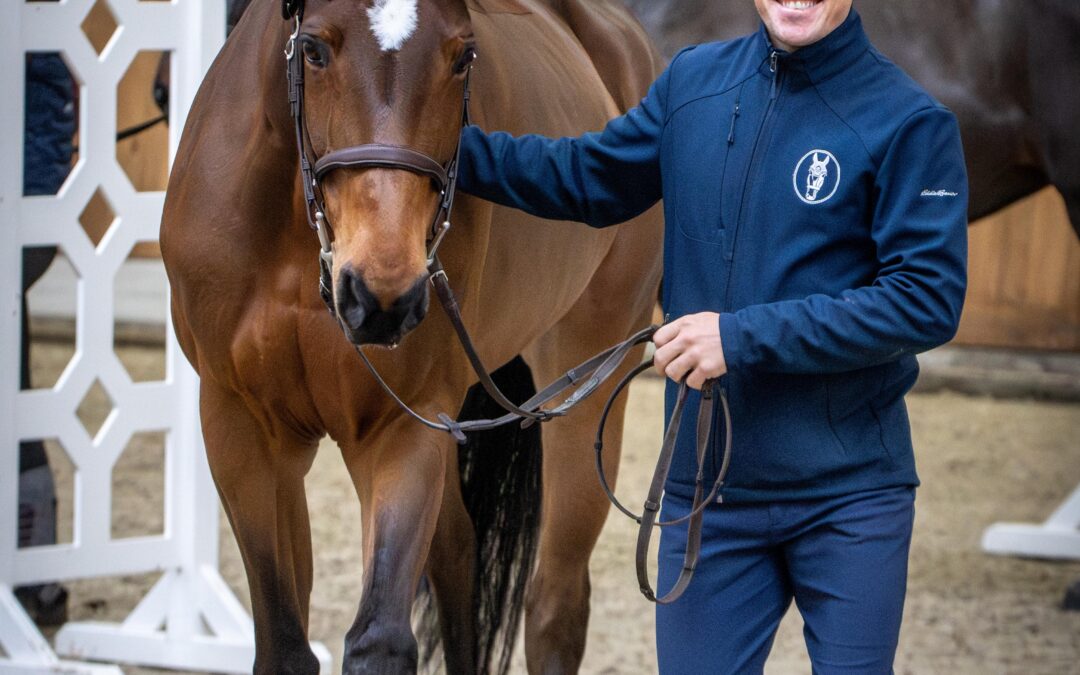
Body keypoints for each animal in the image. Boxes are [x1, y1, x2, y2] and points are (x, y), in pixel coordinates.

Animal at [160, 0, 663, 672]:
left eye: (464, 57)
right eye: (313, 49)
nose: (383, 296)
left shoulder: (398, 428)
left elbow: (380, 637)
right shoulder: (243, 427)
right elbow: (285, 642)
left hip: (584, 382)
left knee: (554, 605)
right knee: (459, 555)